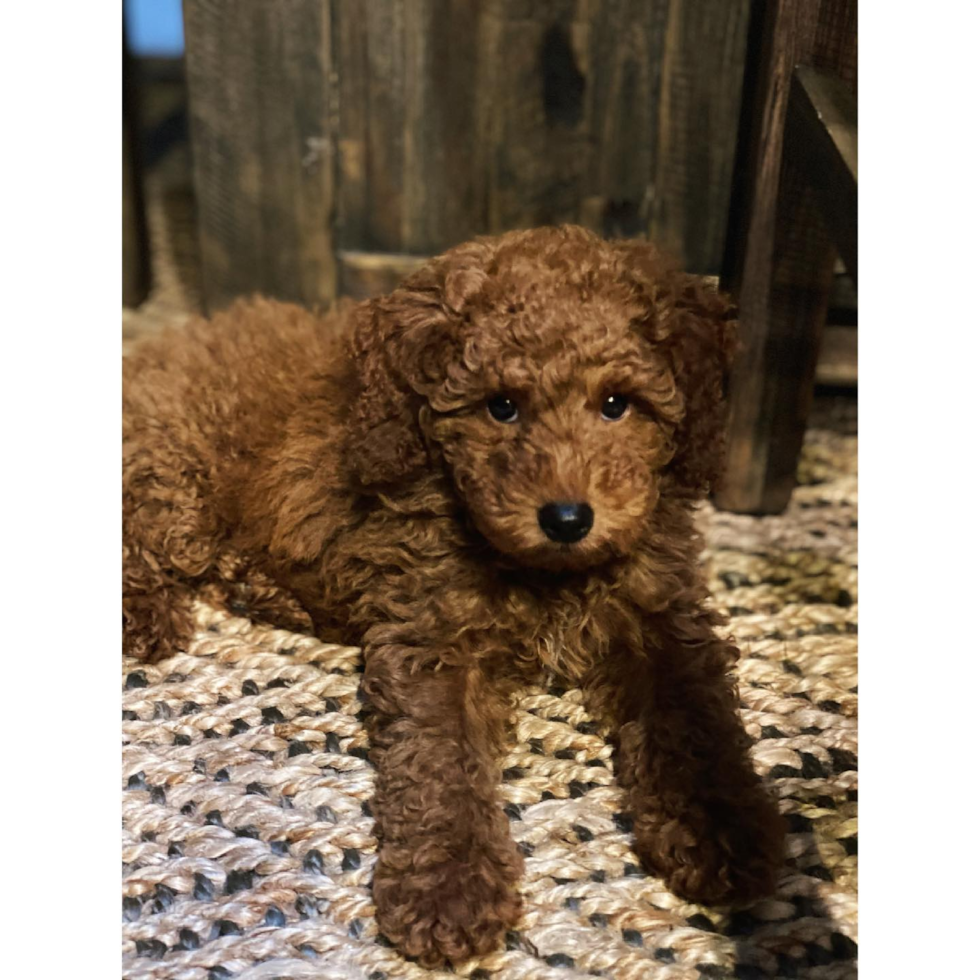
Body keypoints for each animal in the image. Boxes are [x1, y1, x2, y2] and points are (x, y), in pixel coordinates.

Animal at [124, 228, 780, 964]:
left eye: (617, 404)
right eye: (501, 405)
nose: (567, 518)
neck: (542, 571)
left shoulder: (660, 614)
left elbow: (694, 725)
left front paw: (726, 833)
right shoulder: (432, 633)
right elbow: (439, 761)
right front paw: (448, 887)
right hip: (173, 475)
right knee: (137, 531)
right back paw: (144, 614)